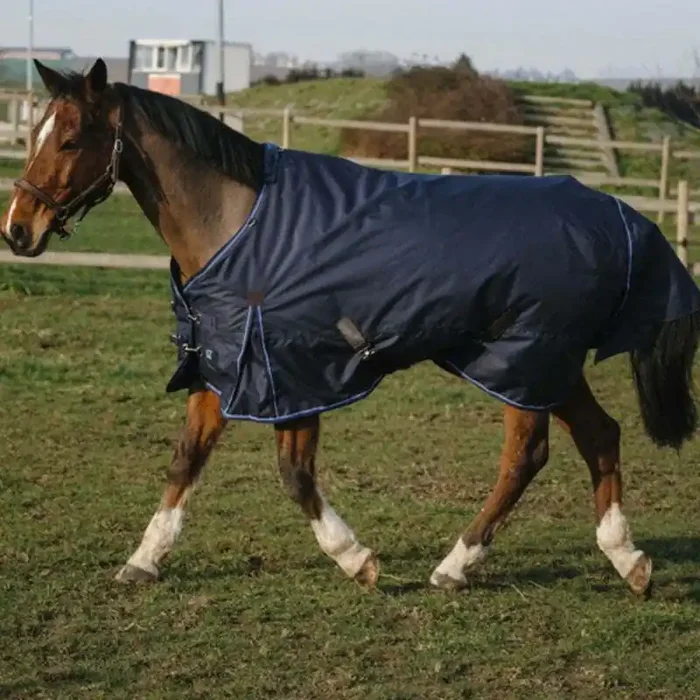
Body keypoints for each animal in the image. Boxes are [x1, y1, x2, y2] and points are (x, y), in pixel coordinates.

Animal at [2, 58, 699, 598]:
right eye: (33, 131)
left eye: (70, 140)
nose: (18, 229)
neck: (240, 224)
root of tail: (620, 217)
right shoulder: (223, 362)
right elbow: (186, 460)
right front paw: (144, 559)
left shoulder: (292, 374)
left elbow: (294, 474)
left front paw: (356, 559)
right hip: (547, 365)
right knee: (600, 436)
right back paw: (627, 560)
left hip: (522, 364)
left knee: (526, 457)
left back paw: (456, 565)